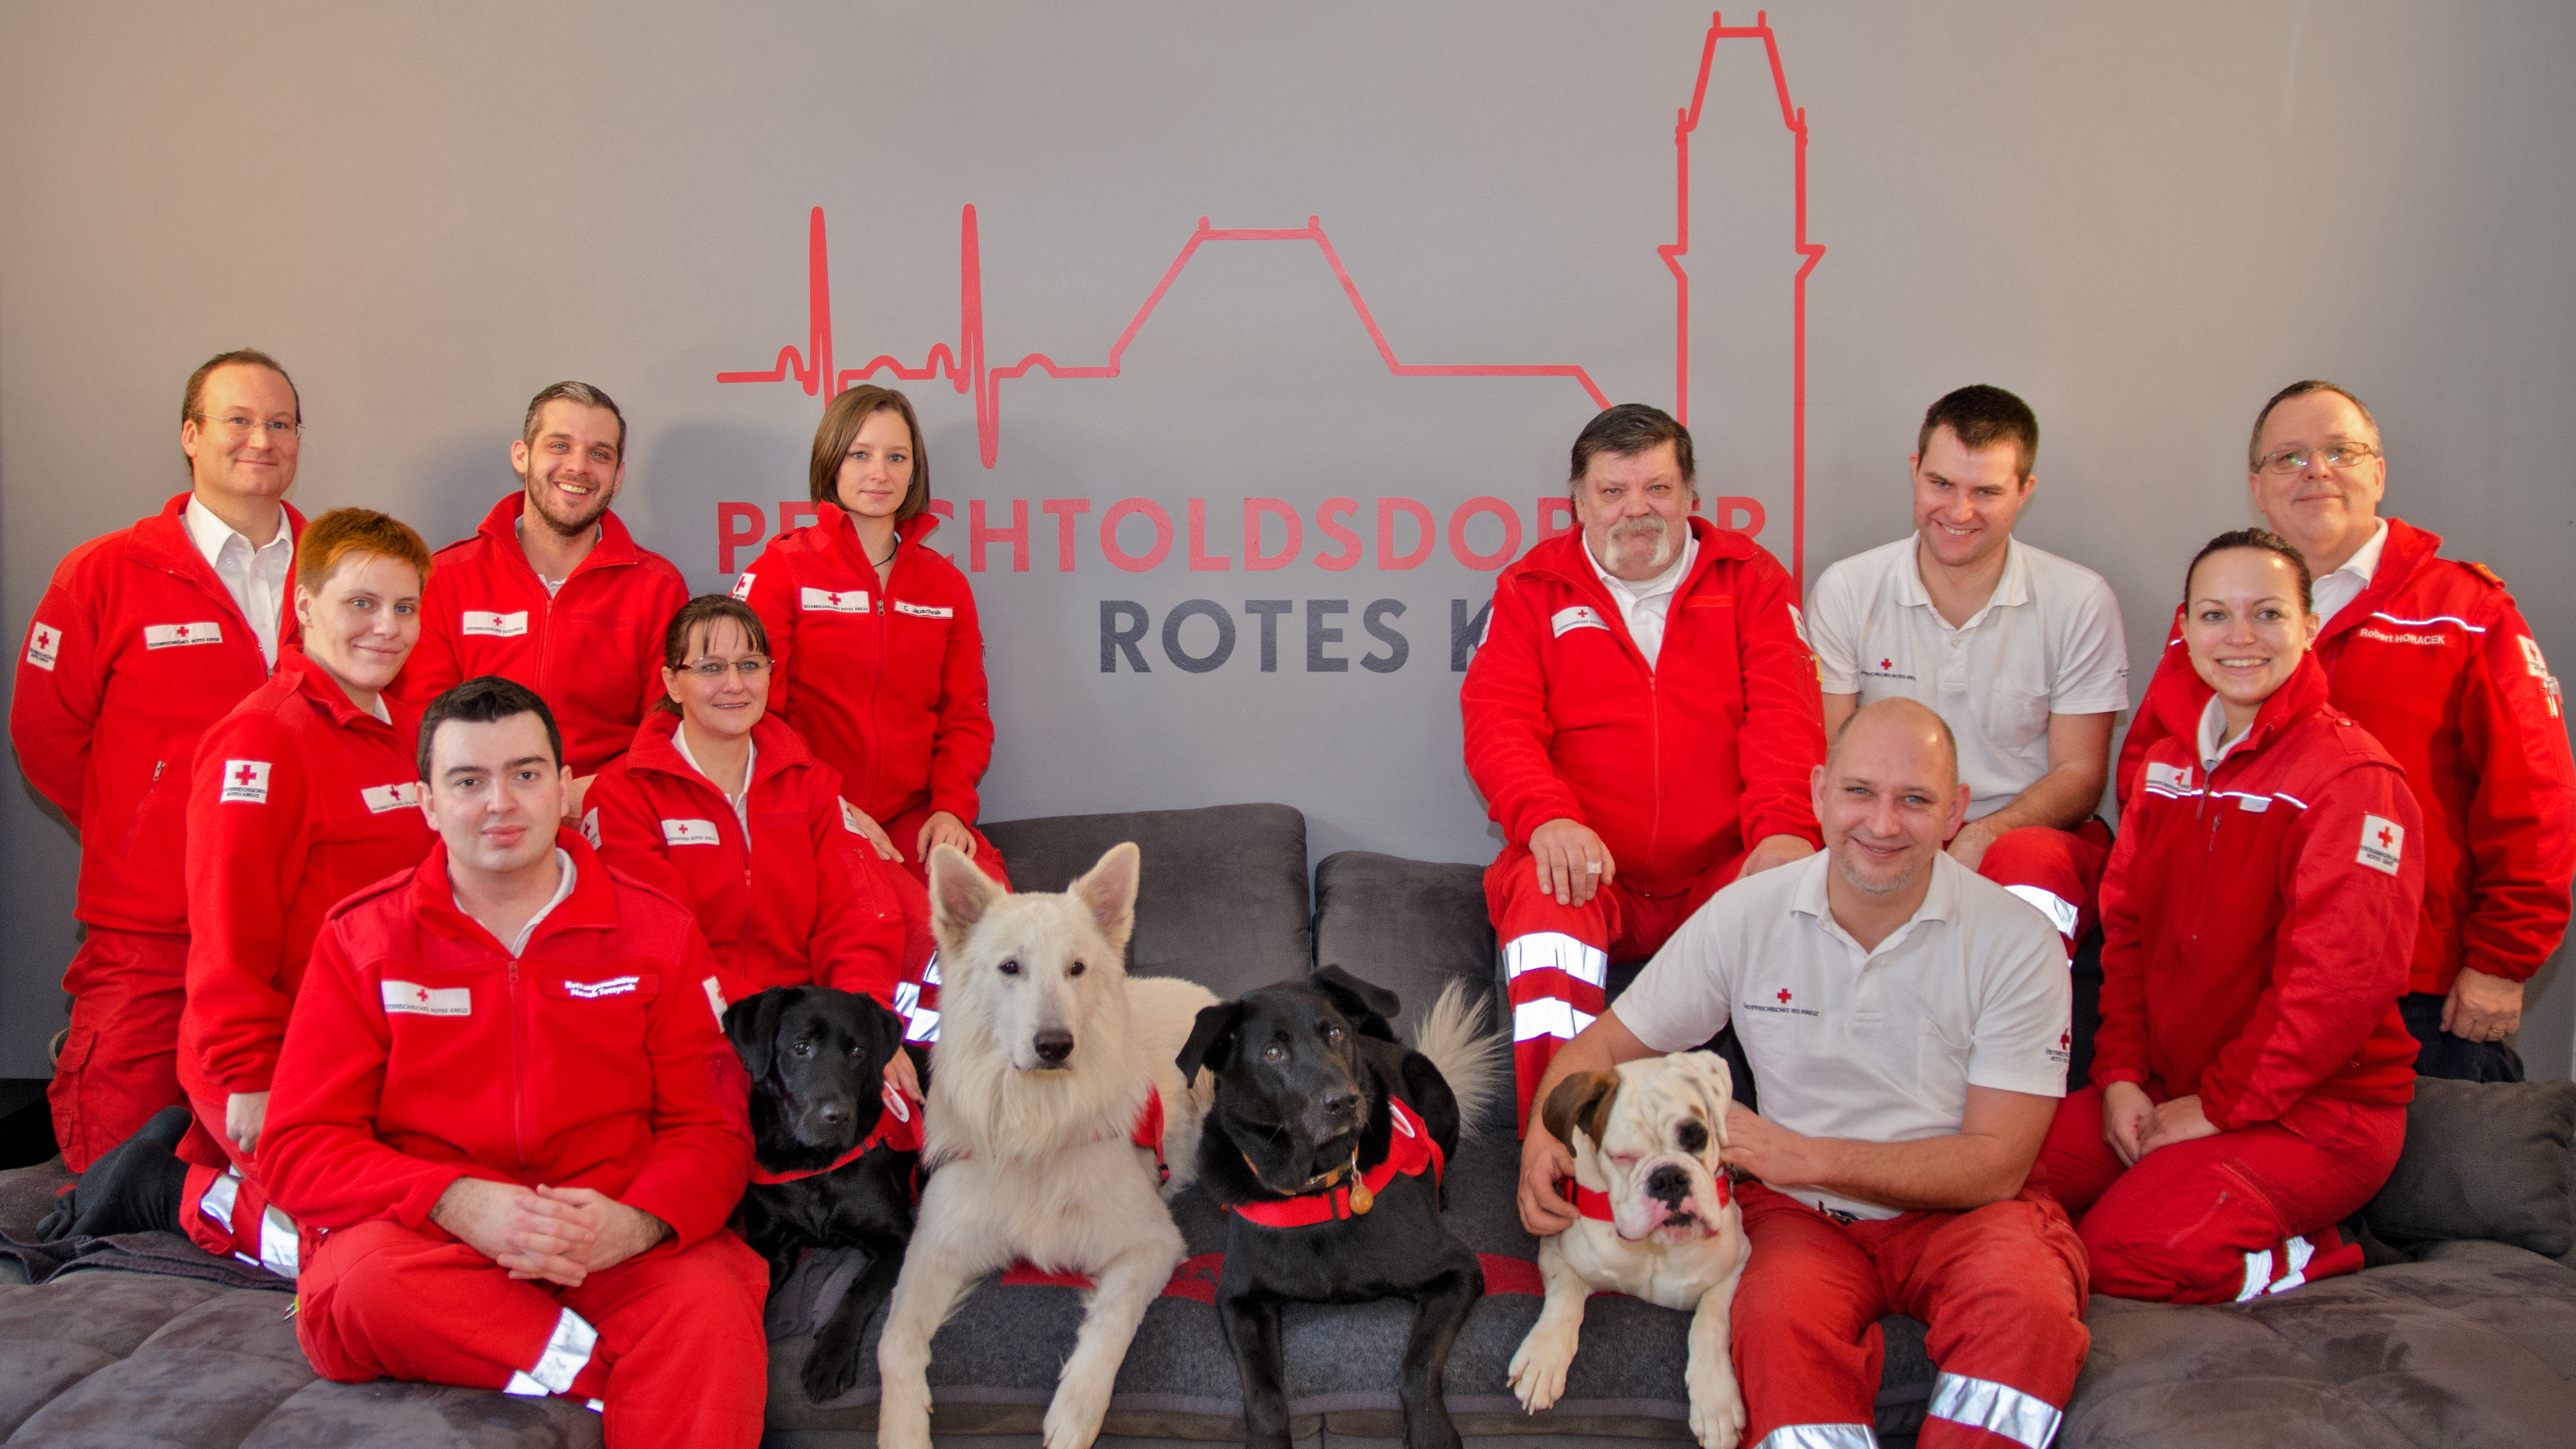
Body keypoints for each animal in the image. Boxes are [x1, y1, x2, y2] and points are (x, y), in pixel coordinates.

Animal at [721, 988, 922, 1410]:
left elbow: (859, 1290)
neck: (813, 1166)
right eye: (801, 1048)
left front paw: (830, 1358)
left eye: (859, 1051)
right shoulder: (770, 1246)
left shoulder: (897, 1237)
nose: (838, 1116)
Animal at [875, 844, 1216, 1449]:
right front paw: (902, 1428)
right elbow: (893, 1341)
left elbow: (1110, 1324)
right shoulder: (933, 1249)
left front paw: (1076, 1414)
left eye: (1076, 968)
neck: (1036, 1124)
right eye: (1010, 967)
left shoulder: (1150, 1246)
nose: (1055, 1045)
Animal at [1174, 967, 1483, 1449]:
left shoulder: (1458, 1270)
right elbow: (1263, 1393)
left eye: (1335, 1033)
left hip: (1432, 1086)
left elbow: (1418, 1366)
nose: (1345, 1101)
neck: (1317, 1188)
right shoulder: (1238, 1299)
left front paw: (1432, 1432)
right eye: (1273, 1052)